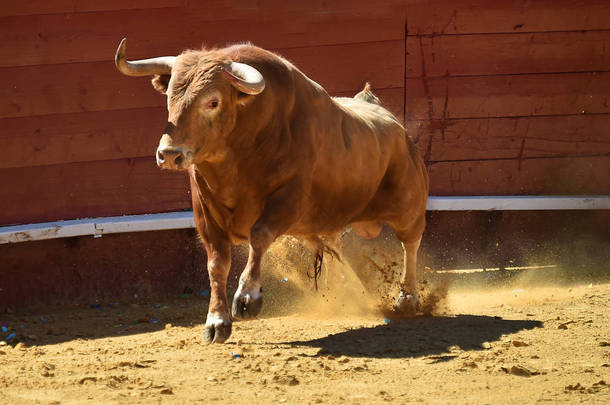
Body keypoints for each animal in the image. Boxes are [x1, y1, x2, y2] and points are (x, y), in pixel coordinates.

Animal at [114, 38, 428, 342]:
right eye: (170, 97)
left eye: (213, 102)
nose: (169, 154)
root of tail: (395, 124)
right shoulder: (205, 213)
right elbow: (216, 263)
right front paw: (216, 321)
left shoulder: (288, 199)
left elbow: (259, 236)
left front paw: (247, 298)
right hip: (320, 221)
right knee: (332, 244)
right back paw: (342, 289)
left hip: (408, 209)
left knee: (410, 243)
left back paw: (407, 299)